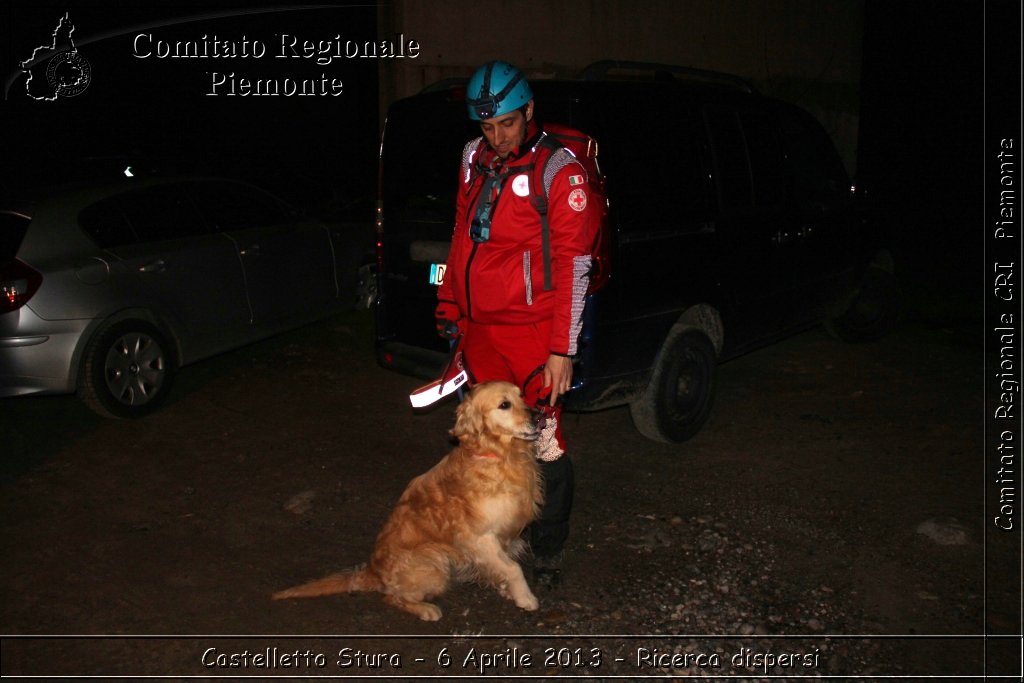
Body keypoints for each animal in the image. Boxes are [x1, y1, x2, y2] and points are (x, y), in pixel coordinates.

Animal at [272, 382, 544, 622]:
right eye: (504, 404)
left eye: (522, 395)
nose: (541, 416)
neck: (500, 456)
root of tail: (373, 572)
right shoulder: (479, 538)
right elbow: (513, 568)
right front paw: (525, 598)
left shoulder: (503, 537)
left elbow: (503, 565)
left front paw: (507, 590)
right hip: (435, 562)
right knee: (391, 597)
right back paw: (426, 609)